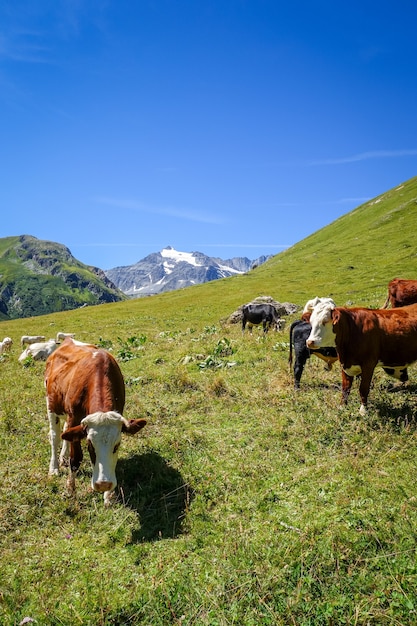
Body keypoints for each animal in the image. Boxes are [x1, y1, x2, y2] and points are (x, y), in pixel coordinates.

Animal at [45, 336, 146, 502]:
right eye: (90, 445)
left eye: (117, 445)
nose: (103, 484)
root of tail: (68, 339)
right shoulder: (75, 418)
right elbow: (76, 458)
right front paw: (70, 488)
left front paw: (108, 496)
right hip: (51, 405)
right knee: (55, 436)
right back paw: (54, 468)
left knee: (65, 433)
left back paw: (62, 458)